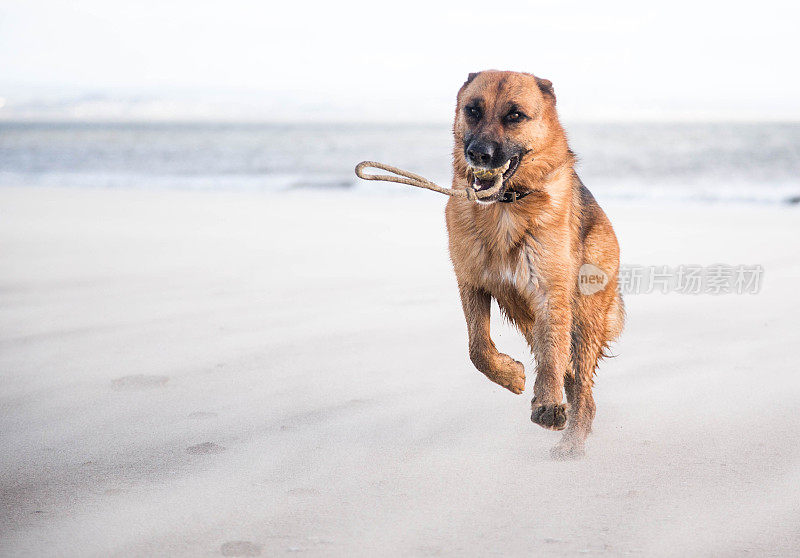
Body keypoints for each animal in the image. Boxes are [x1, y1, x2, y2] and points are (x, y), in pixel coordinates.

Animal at [444, 70, 624, 460]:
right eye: (472, 110)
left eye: (515, 115)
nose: (477, 154)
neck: (506, 205)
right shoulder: (471, 282)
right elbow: (478, 349)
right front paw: (511, 375)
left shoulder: (549, 294)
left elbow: (552, 357)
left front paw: (548, 405)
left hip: (581, 317)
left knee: (579, 386)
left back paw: (572, 440)